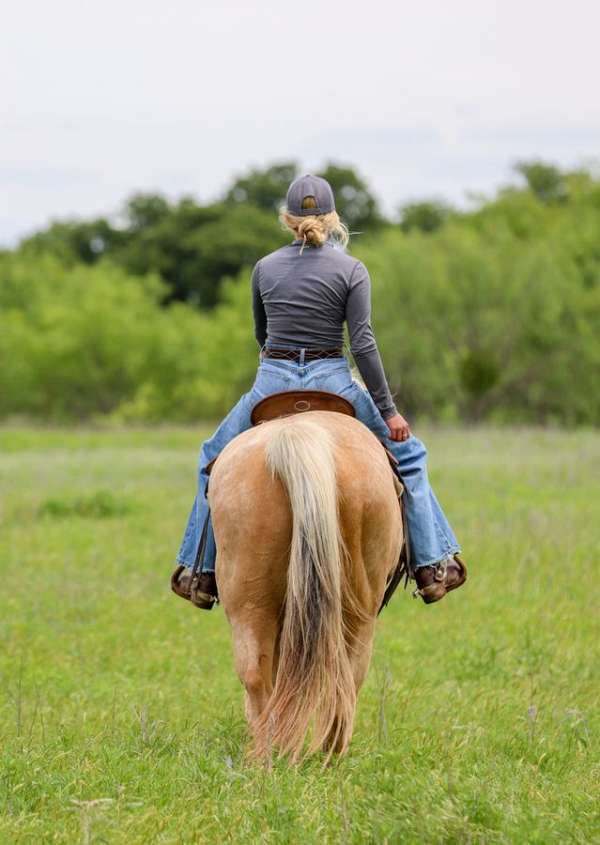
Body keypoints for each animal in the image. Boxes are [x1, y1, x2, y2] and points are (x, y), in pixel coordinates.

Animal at [208, 410, 403, 760]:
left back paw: (267, 753)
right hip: (359, 610)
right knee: (348, 675)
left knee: (257, 674)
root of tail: (295, 433)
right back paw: (330, 753)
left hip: (249, 599)